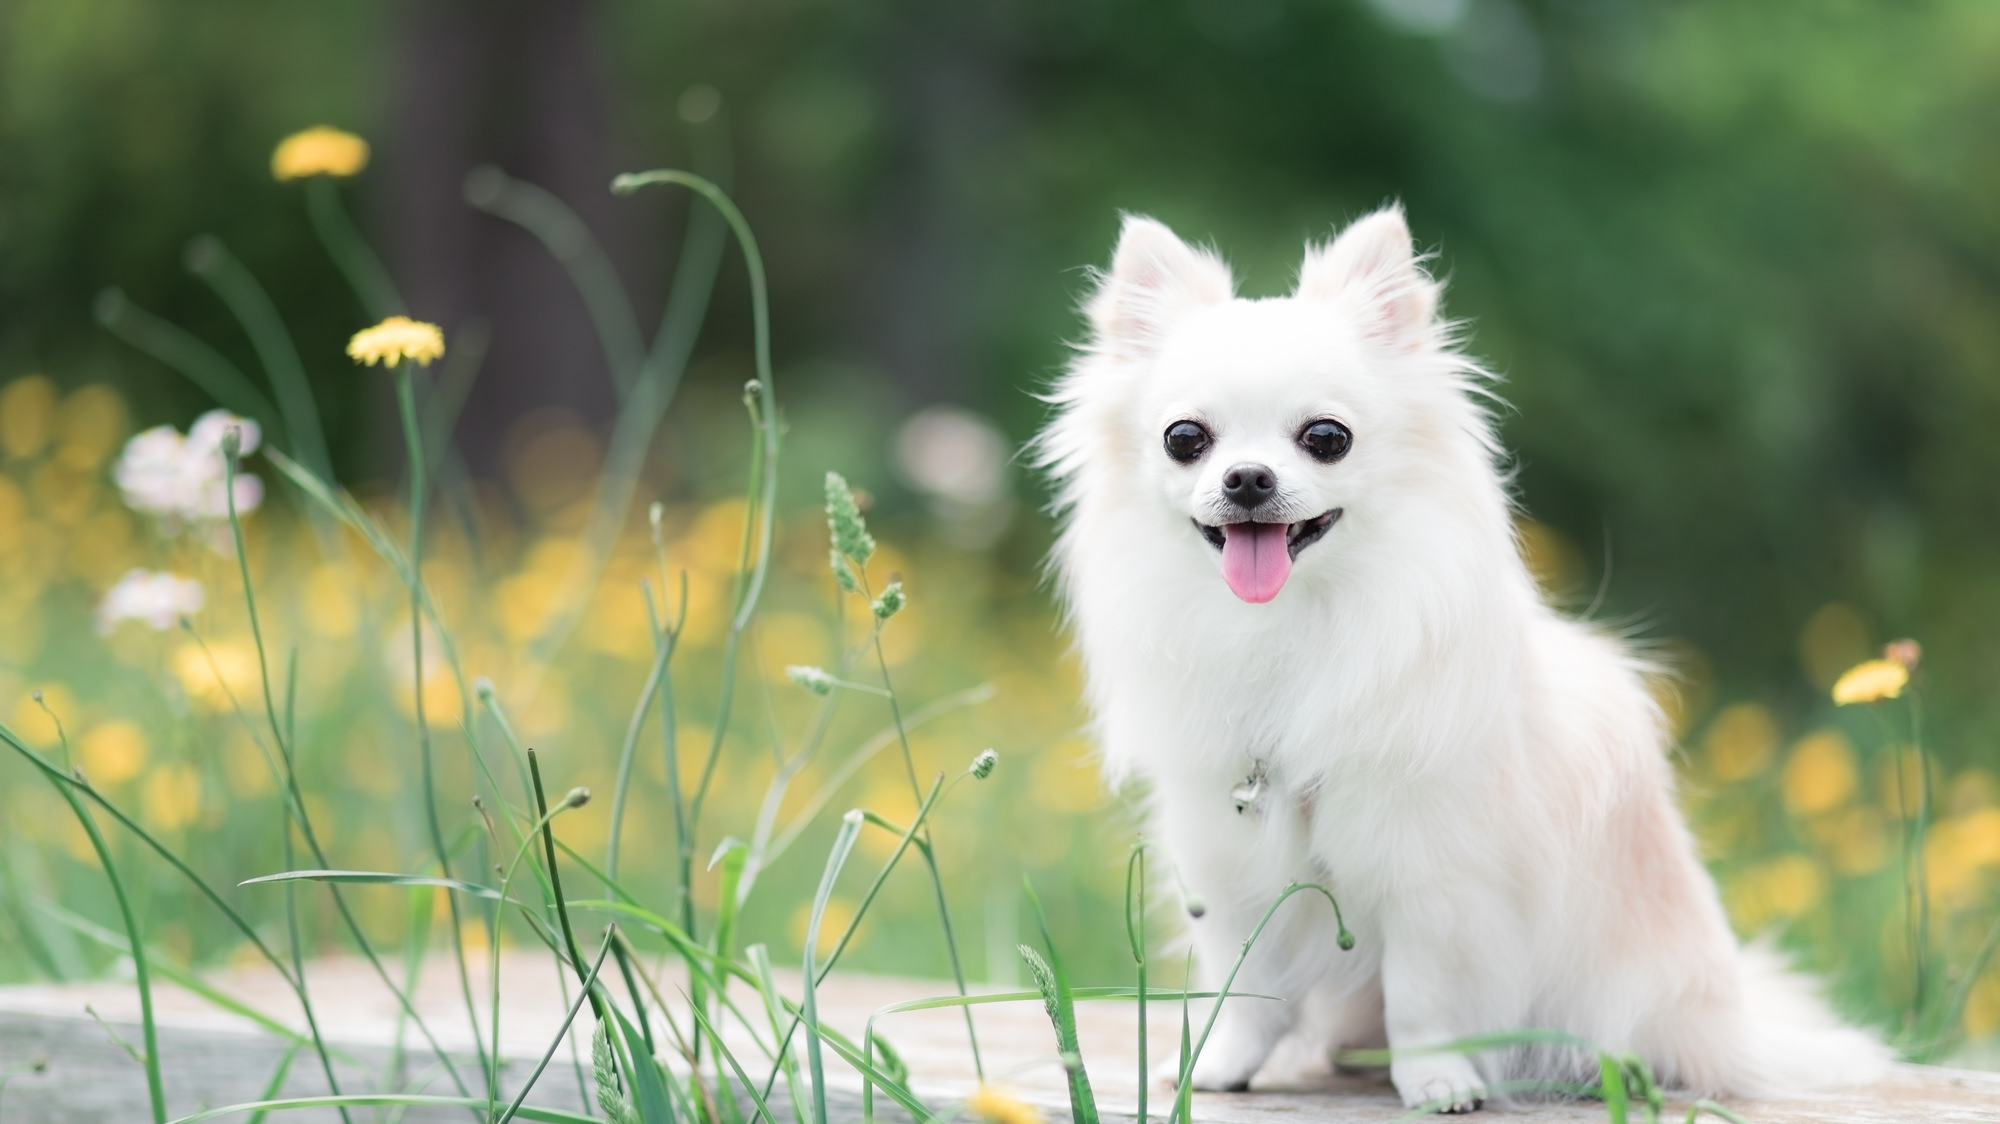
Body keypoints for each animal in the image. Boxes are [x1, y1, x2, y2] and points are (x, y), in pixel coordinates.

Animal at [1040, 206, 1880, 1104]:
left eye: (1326, 438)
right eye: (1185, 440)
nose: (1248, 478)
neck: (1293, 627)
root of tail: (1722, 1016)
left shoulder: (1438, 882)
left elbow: (1423, 998)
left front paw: (1438, 1080)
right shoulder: (1232, 865)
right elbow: (1251, 983)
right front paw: (1222, 1065)